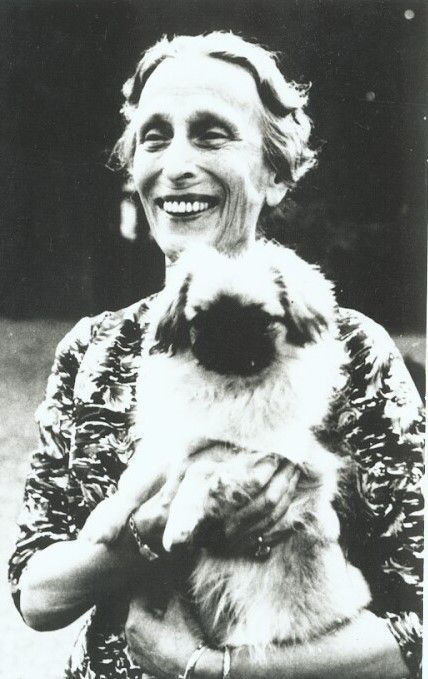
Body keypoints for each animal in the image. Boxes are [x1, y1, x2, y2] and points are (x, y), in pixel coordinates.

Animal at [82, 240, 370, 652]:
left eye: (261, 319)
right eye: (200, 320)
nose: (228, 335)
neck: (230, 388)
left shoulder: (265, 454)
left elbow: (202, 471)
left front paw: (179, 525)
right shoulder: (173, 441)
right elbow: (134, 482)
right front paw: (104, 519)